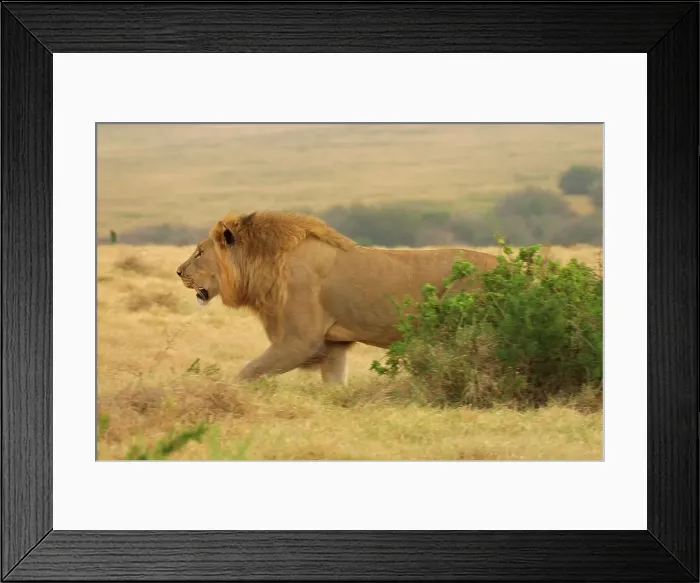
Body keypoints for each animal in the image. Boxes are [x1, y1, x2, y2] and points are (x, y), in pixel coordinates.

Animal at [177, 210, 499, 385]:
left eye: (200, 253)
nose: (179, 271)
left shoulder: (300, 341)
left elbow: (249, 371)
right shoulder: (333, 345)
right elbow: (334, 382)